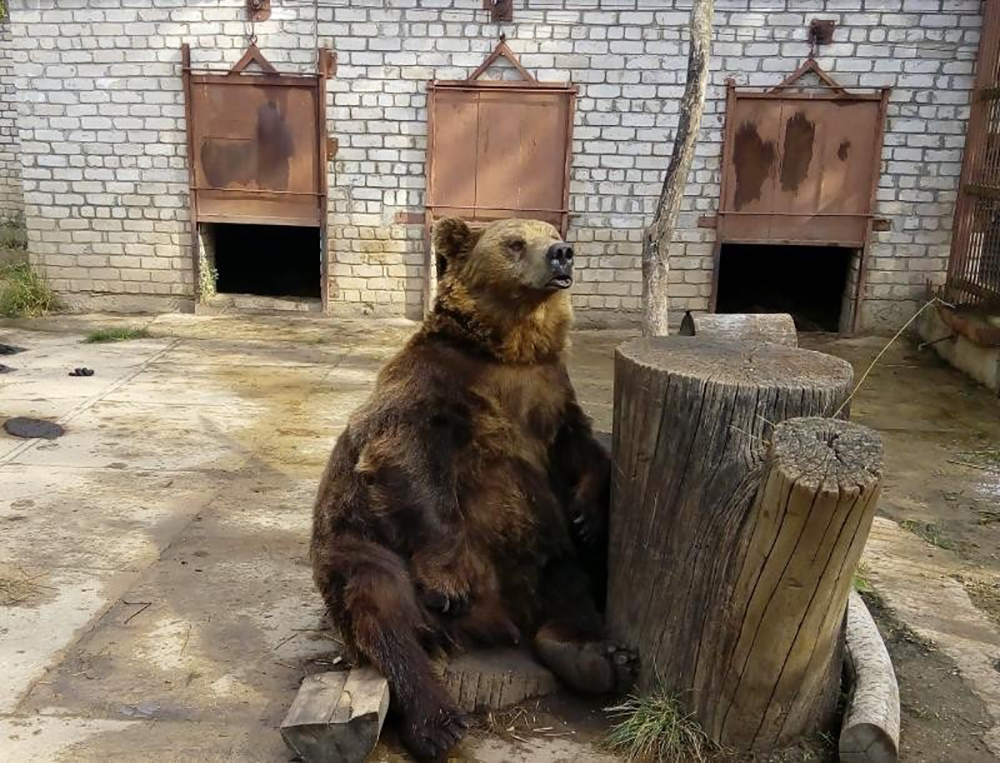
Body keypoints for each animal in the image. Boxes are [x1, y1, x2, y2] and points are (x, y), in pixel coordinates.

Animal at [310, 218, 632, 760]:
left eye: (553, 231)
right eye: (515, 242)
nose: (562, 253)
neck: (508, 351)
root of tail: (498, 620)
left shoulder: (546, 392)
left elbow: (580, 445)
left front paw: (589, 511)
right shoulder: (434, 387)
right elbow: (407, 463)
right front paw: (449, 582)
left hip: (539, 549)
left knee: (565, 572)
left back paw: (592, 655)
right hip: (358, 541)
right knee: (382, 607)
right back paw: (438, 722)